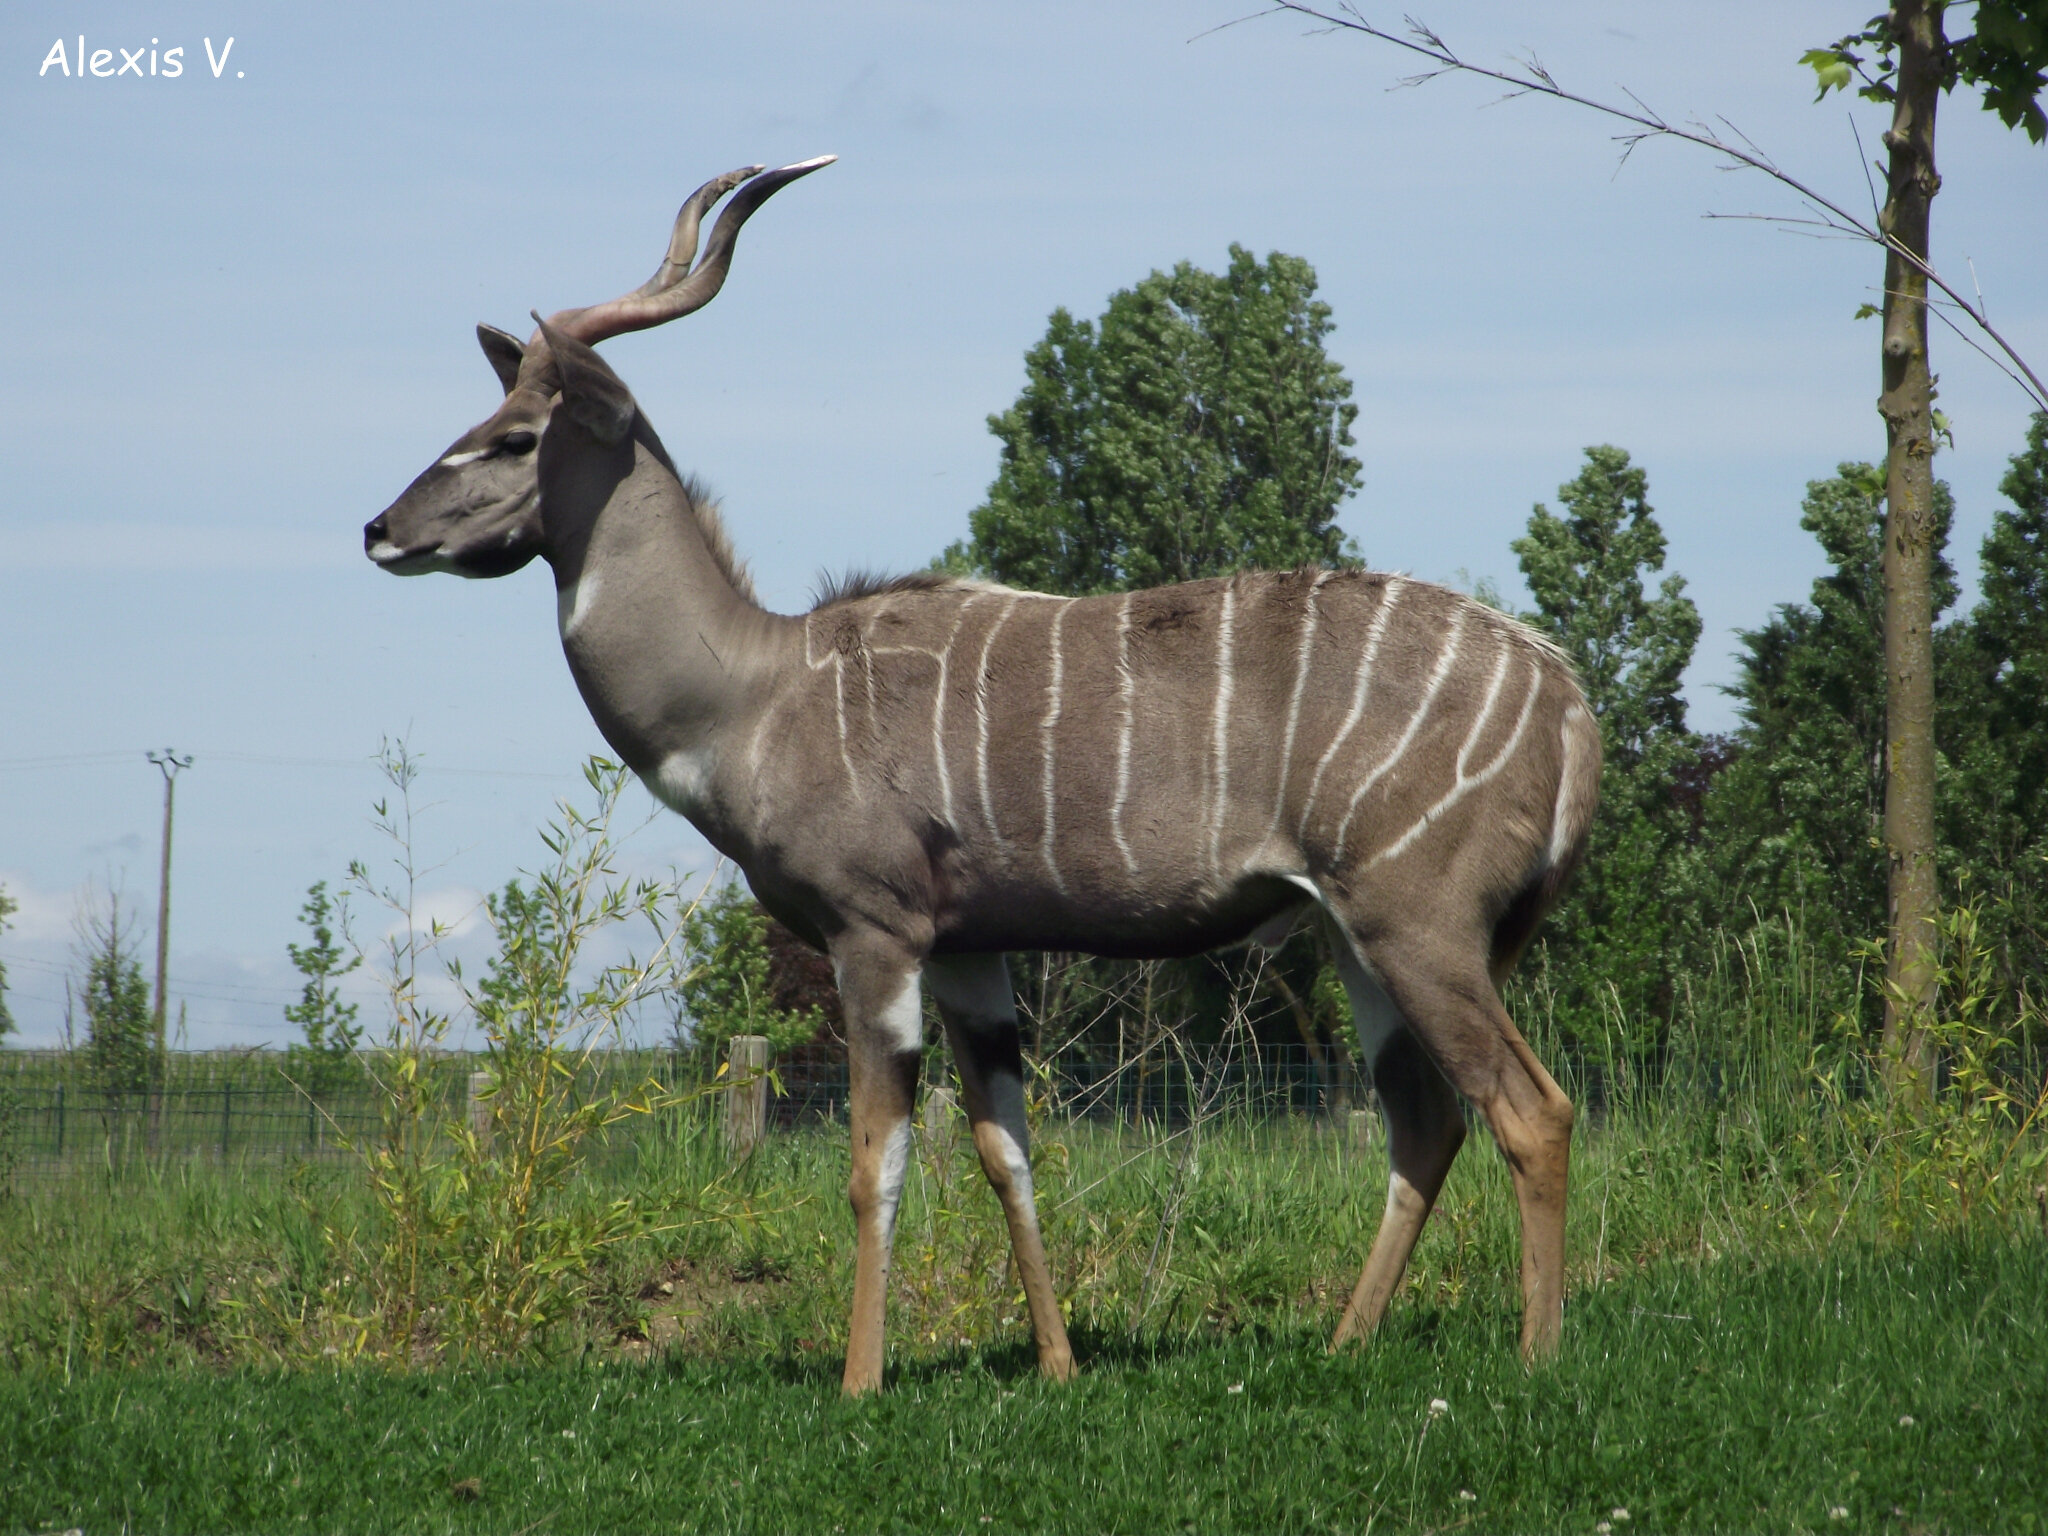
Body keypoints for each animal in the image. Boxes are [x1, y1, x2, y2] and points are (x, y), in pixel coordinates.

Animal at [368, 159, 1597, 1392]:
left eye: (515, 437)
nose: (379, 528)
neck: (757, 693)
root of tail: (1565, 700)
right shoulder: (970, 948)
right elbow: (1006, 1150)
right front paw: (1055, 1364)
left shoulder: (875, 931)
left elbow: (876, 1165)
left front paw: (860, 1380)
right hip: (1359, 936)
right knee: (1426, 1119)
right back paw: (1345, 1343)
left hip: (1419, 924)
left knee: (1530, 1111)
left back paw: (1537, 1356)